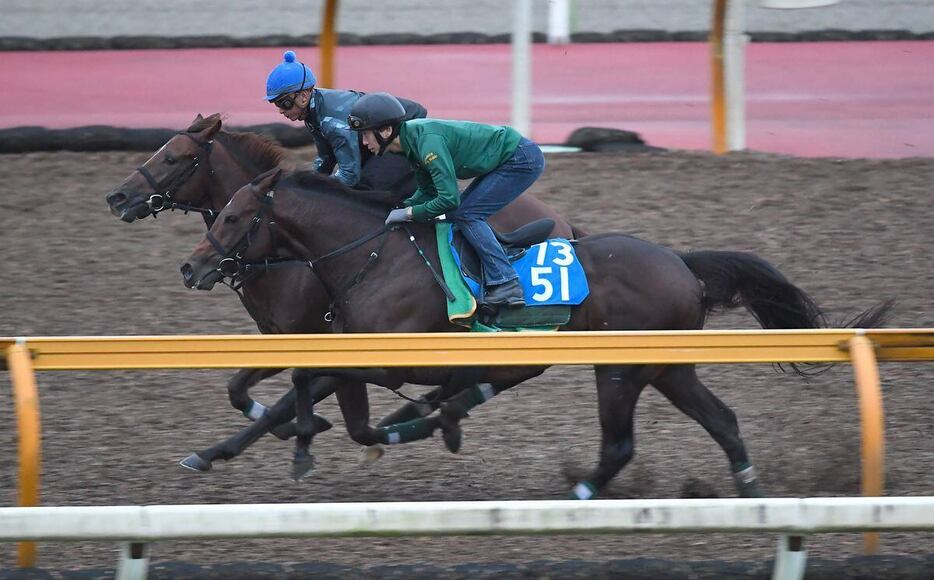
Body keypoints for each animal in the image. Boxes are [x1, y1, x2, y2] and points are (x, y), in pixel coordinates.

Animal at [104, 113, 584, 462]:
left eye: (173, 158)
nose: (117, 197)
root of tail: (564, 222)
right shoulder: (285, 339)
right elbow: (239, 389)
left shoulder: (329, 341)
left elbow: (294, 397)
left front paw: (238, 445)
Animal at [179, 168, 888, 498]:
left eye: (235, 216)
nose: (192, 266)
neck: (372, 256)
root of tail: (681, 264)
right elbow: (326, 392)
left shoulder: (401, 356)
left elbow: (340, 396)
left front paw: (363, 432)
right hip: (667, 368)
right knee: (723, 418)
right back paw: (749, 488)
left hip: (621, 368)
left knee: (620, 445)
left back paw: (581, 489)